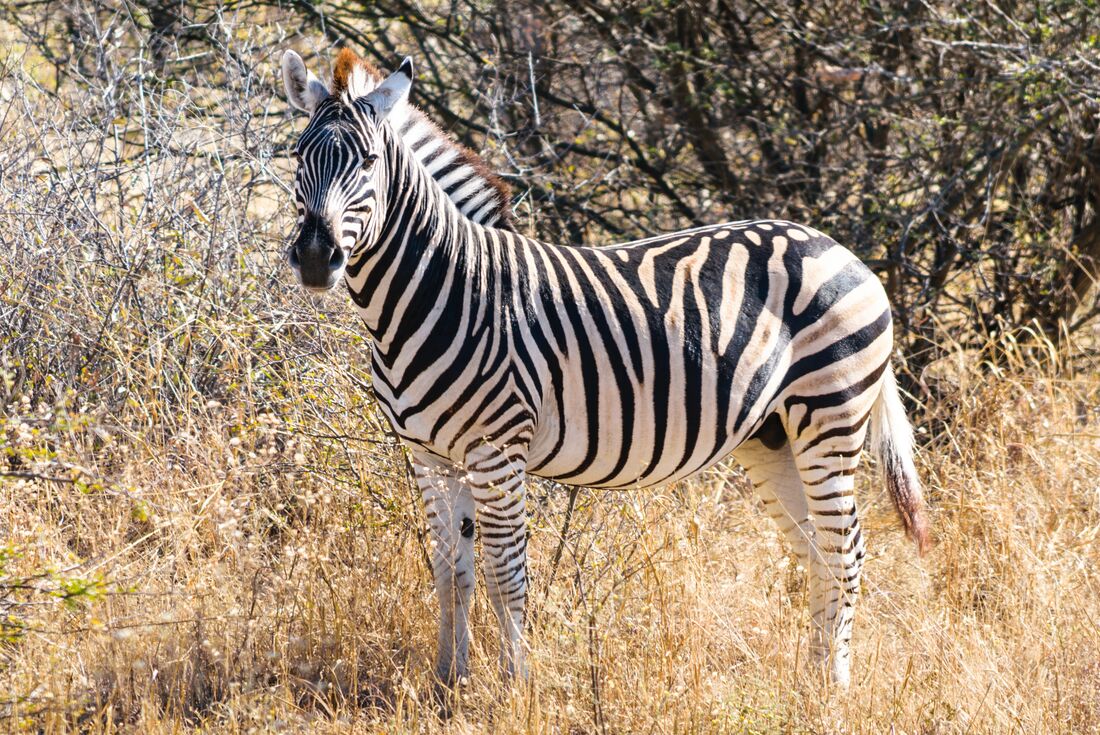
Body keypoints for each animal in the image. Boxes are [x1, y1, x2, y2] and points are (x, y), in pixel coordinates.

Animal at [280, 48, 931, 695]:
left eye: (368, 161)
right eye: (297, 157)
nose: (314, 258)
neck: (446, 289)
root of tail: (836, 246)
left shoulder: (497, 449)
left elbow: (505, 573)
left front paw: (516, 689)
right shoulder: (428, 457)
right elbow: (449, 574)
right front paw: (449, 683)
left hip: (830, 415)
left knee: (845, 550)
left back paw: (835, 688)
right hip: (772, 437)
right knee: (818, 550)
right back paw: (811, 681)